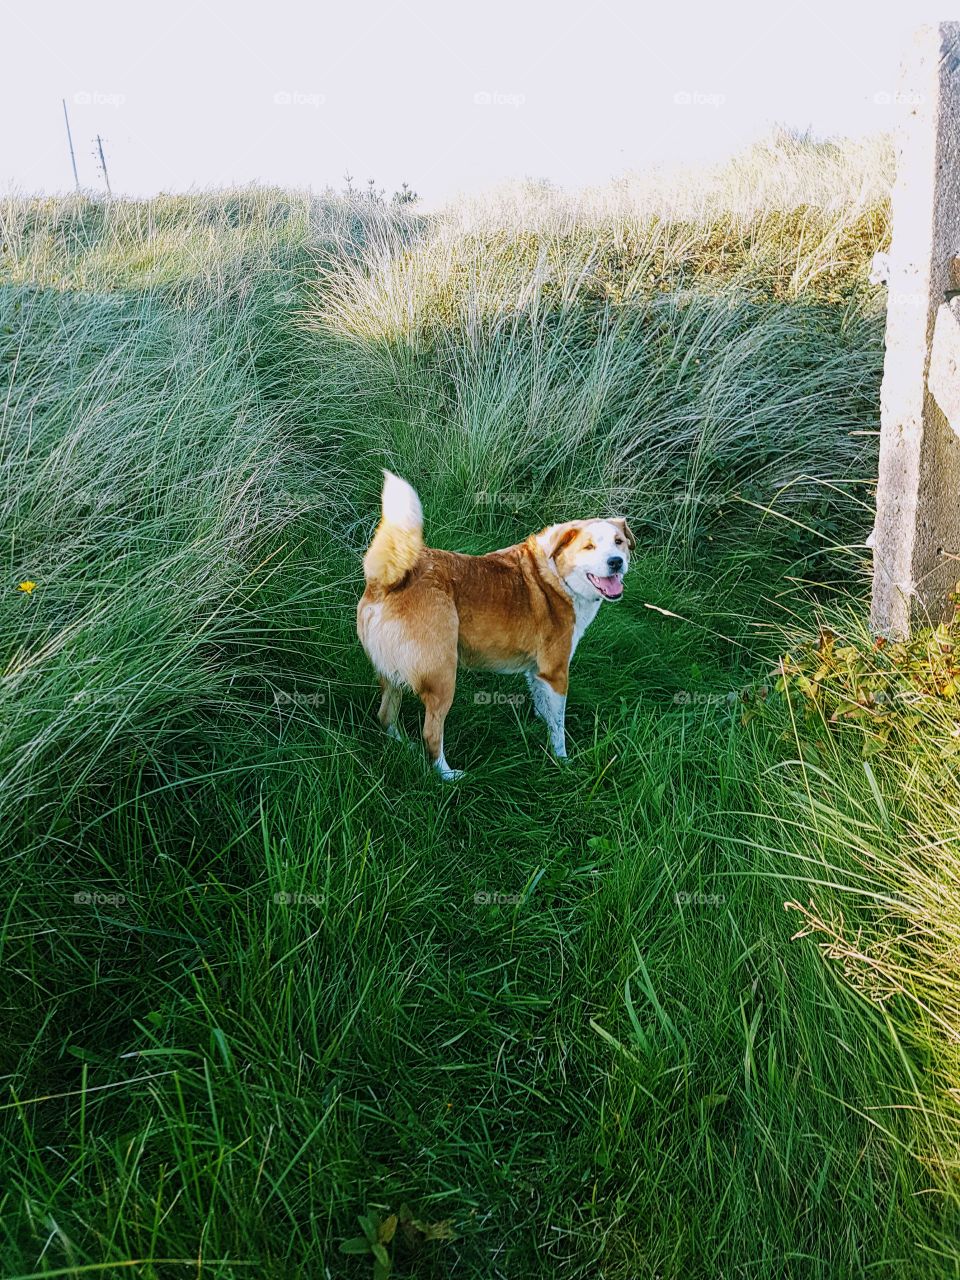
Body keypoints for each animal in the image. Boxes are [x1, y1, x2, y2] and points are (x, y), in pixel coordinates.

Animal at [358, 476, 634, 778]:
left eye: (619, 542)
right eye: (589, 547)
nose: (616, 562)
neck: (555, 575)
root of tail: (388, 581)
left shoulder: (537, 672)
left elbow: (544, 710)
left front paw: (538, 728)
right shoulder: (556, 673)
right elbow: (558, 727)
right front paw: (563, 762)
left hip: (391, 673)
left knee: (385, 716)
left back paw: (402, 745)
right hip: (443, 677)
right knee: (431, 734)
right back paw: (448, 775)